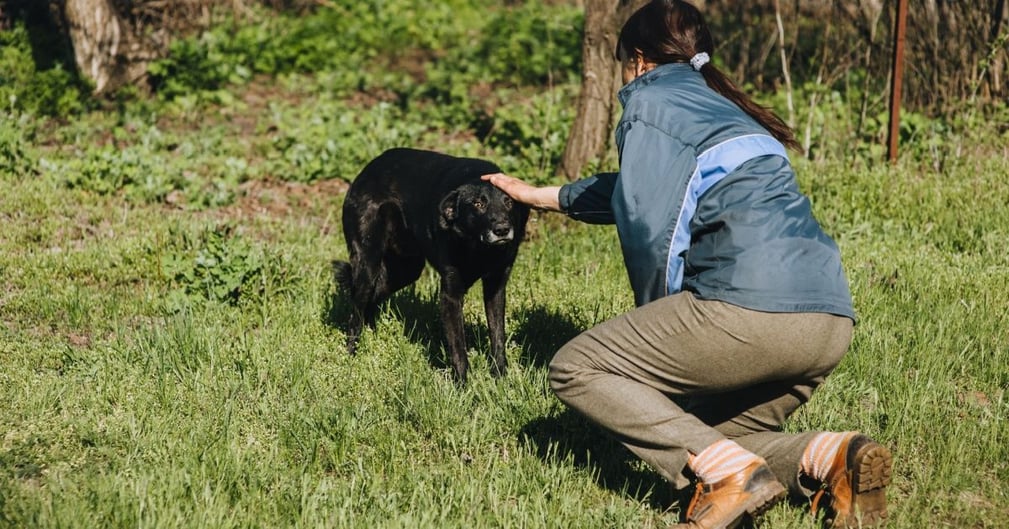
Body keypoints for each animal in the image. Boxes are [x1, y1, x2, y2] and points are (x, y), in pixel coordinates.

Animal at [334, 146, 532, 381]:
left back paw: (372, 338)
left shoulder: (496, 287)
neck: (479, 249)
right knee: (356, 310)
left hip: (405, 269)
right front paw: (463, 385)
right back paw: (351, 356)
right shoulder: (450, 295)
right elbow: (458, 347)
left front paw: (500, 377)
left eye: (509, 202)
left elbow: (498, 335)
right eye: (478, 204)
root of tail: (367, 169)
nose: (502, 229)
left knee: (372, 299)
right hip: (368, 264)